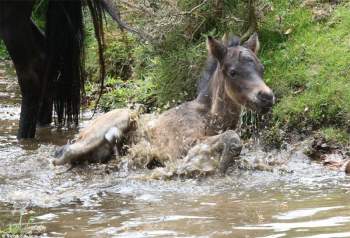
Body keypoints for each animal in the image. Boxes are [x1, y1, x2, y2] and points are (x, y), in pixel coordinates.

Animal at [53, 33, 274, 174]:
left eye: (261, 68)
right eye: (233, 72)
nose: (267, 96)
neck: (209, 118)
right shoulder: (182, 144)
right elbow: (231, 138)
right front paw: (219, 167)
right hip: (120, 118)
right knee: (63, 153)